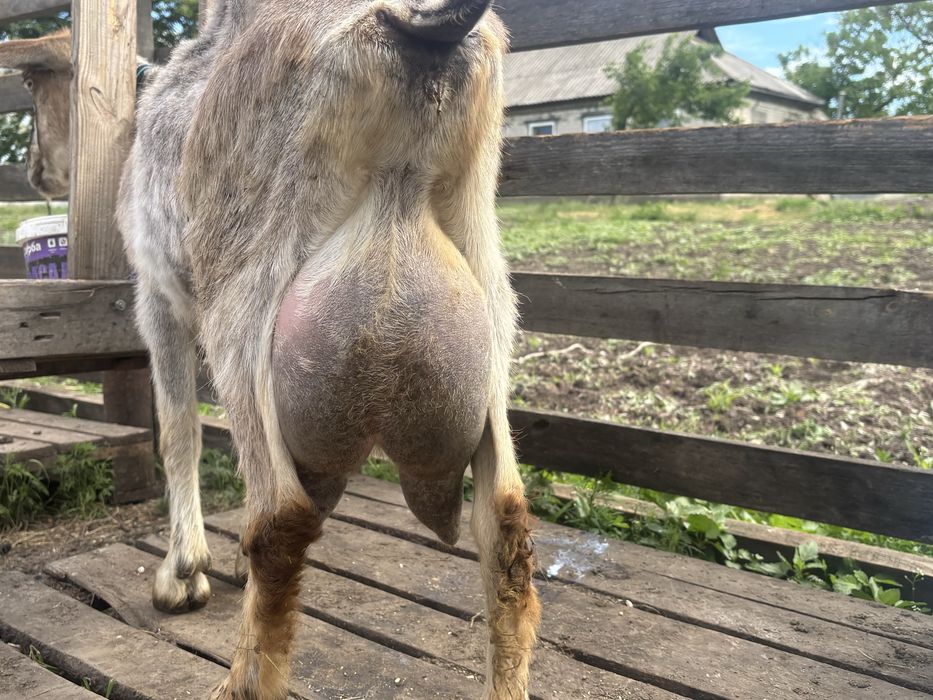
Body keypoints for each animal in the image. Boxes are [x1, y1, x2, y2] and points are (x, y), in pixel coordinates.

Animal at [120, 1, 540, 697]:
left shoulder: (157, 294)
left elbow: (178, 429)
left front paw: (183, 573)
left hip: (242, 306)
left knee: (281, 520)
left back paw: (240, 681)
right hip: (492, 307)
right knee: (505, 522)